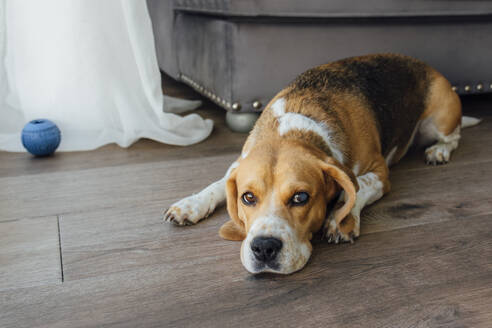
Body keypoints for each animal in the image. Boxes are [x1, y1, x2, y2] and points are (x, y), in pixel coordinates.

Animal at [163, 53, 478, 274]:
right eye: (247, 197)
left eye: (301, 197)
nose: (263, 248)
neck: (291, 129)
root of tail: (426, 66)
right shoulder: (238, 164)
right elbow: (218, 184)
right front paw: (190, 204)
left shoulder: (380, 172)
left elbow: (358, 186)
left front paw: (340, 219)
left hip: (440, 118)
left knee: (454, 137)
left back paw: (439, 151)